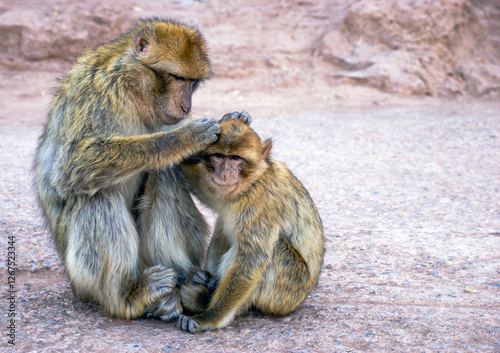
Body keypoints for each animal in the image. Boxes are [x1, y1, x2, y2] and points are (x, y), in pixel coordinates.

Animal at [33, 17, 223, 320]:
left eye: (192, 82)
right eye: (178, 78)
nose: (185, 106)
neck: (135, 89)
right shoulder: (98, 91)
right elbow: (73, 164)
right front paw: (186, 138)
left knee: (163, 174)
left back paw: (180, 282)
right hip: (80, 279)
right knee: (95, 194)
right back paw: (127, 297)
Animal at [178, 113, 326, 332]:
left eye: (235, 158)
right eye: (219, 156)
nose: (224, 174)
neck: (252, 180)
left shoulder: (260, 203)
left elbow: (252, 258)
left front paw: (210, 317)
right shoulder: (218, 187)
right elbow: (198, 185)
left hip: (287, 293)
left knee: (273, 249)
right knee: (224, 227)